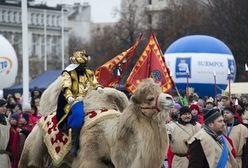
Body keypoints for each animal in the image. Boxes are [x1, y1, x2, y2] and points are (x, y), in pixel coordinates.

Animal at [19, 78, 173, 167]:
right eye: (150, 98)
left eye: (160, 90)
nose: (170, 98)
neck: (111, 140)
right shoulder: (89, 158)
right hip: (34, 145)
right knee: (30, 163)